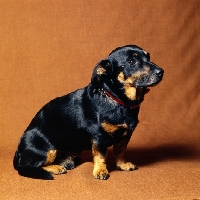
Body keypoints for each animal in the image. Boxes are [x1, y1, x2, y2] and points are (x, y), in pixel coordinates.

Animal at [13, 45, 164, 180]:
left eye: (148, 57)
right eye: (131, 61)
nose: (161, 72)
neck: (117, 100)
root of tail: (18, 153)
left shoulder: (125, 135)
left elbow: (120, 151)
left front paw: (123, 165)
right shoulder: (98, 137)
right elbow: (100, 156)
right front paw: (101, 171)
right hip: (47, 149)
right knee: (28, 166)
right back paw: (55, 168)